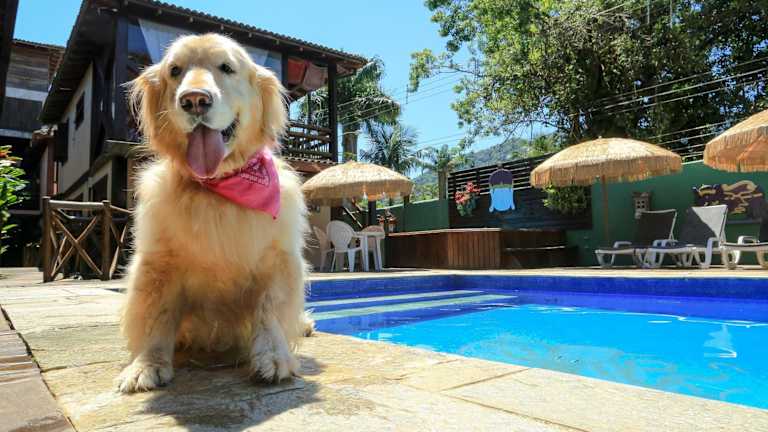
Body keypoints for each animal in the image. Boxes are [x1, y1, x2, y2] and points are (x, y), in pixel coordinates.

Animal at [117, 33, 312, 393]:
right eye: (175, 71)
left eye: (226, 68)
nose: (194, 100)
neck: (219, 188)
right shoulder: (157, 263)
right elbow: (156, 316)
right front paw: (146, 364)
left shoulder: (279, 259)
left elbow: (269, 310)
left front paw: (273, 355)